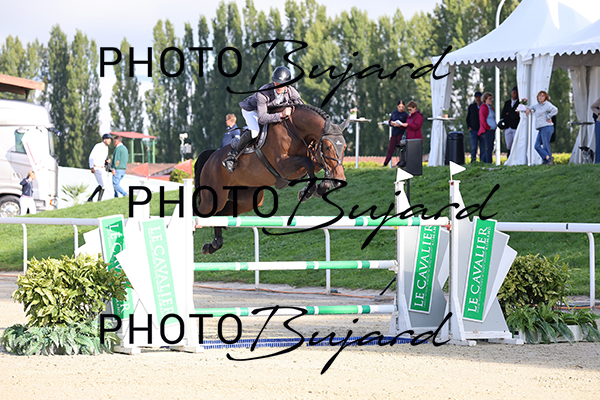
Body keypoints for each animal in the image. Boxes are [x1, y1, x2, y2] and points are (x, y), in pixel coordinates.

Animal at [194, 103, 351, 255]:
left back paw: (214, 245)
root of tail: (212, 156)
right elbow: (308, 163)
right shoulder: (283, 166)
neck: (295, 130)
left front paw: (321, 187)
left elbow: (317, 164)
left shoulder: (311, 156)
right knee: (201, 213)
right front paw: (309, 191)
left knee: (219, 215)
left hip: (247, 199)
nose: (340, 180)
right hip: (213, 197)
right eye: (327, 147)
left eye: (345, 147)